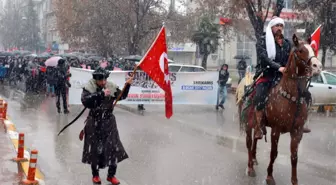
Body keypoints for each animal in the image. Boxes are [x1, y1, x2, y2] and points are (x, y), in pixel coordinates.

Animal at [236, 33, 320, 185]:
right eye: (300, 50)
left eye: (313, 49)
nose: (318, 67)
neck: (291, 96)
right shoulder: (276, 129)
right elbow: (273, 153)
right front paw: (269, 176)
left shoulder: (297, 132)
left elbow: (294, 156)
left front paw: (294, 181)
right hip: (248, 124)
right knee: (249, 143)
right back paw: (250, 167)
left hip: (258, 125)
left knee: (256, 139)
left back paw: (254, 159)